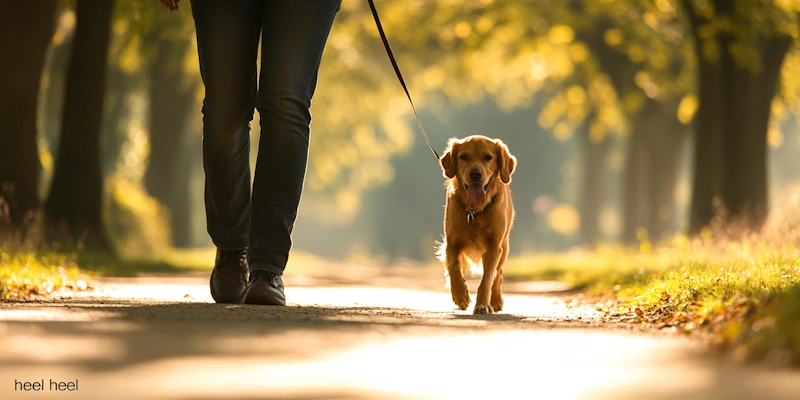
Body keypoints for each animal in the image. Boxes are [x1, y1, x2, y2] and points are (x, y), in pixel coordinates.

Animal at [440, 136, 516, 314]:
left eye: (488, 157)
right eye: (463, 157)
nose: (475, 173)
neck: (474, 211)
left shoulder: (494, 245)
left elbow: (488, 277)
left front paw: (482, 305)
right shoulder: (451, 242)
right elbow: (453, 266)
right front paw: (460, 295)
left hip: (504, 246)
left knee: (498, 272)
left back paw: (495, 301)